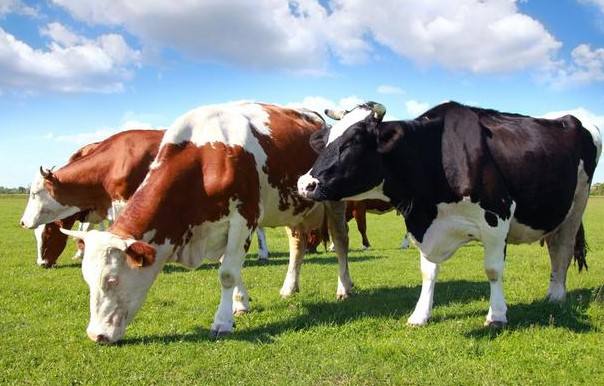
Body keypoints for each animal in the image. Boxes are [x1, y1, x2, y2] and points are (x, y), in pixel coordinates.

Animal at [42, 101, 350, 342]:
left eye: (112, 280)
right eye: (87, 279)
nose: (95, 335)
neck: (206, 158)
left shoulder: (244, 217)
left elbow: (227, 273)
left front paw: (222, 322)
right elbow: (234, 270)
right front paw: (240, 305)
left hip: (333, 201)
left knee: (341, 242)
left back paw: (344, 288)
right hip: (293, 209)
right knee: (297, 245)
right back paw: (289, 287)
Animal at [300, 101, 600, 328]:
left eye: (354, 140)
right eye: (327, 141)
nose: (305, 184)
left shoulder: (498, 215)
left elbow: (493, 270)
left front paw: (496, 315)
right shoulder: (425, 224)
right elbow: (428, 271)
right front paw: (420, 315)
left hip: (578, 203)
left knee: (562, 250)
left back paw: (557, 296)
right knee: (554, 247)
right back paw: (553, 292)